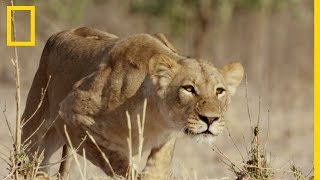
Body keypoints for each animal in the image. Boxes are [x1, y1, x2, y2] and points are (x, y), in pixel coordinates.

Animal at [21, 26, 244, 179]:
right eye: (188, 88)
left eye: (219, 91)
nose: (211, 119)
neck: (154, 116)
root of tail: (58, 34)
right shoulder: (69, 114)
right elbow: (109, 156)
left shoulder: (168, 133)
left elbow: (160, 163)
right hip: (38, 125)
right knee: (32, 155)